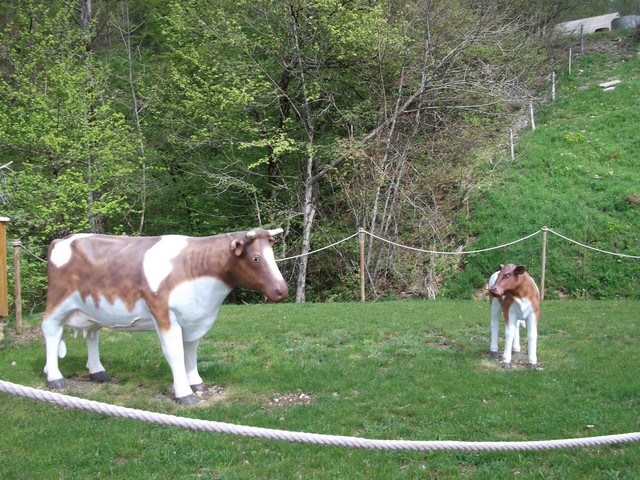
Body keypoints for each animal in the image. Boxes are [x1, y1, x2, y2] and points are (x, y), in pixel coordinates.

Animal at [42, 227, 288, 404]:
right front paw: (184, 393)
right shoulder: (164, 314)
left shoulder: (194, 318)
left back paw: (98, 373)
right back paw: (55, 377)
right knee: (51, 331)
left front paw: (196, 383)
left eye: (272, 255)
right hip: (57, 301)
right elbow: (175, 353)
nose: (282, 290)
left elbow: (191, 352)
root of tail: (62, 240)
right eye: (256, 258)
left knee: (91, 335)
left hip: (92, 309)